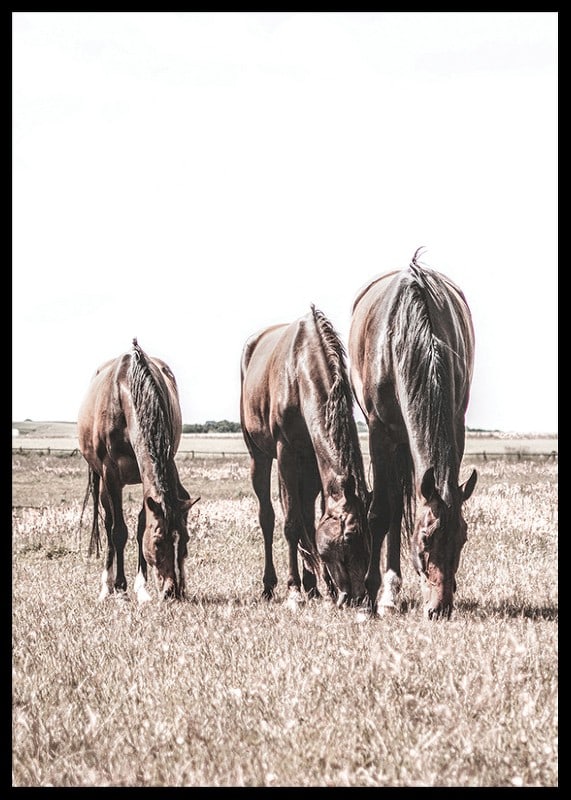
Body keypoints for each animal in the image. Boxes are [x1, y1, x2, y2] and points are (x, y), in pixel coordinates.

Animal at [78, 339, 199, 603]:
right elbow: (118, 531)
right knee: (108, 523)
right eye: (158, 542)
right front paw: (121, 588)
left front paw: (142, 588)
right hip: (102, 482)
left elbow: (141, 526)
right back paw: (107, 586)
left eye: (185, 539)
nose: (172, 592)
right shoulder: (111, 474)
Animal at [240, 304, 371, 609]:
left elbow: (311, 522)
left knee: (306, 517)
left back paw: (312, 585)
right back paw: (271, 585)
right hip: (259, 456)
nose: (356, 598)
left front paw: (321, 586)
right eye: (348, 538)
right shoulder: (286, 452)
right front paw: (294, 588)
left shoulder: (313, 459)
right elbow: (291, 523)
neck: (300, 371)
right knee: (268, 516)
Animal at [348, 248, 477, 619]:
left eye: (463, 538)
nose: (440, 608)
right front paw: (369, 598)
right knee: (392, 503)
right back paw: (386, 594)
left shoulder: (456, 423)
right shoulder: (379, 430)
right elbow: (380, 512)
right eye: (424, 539)